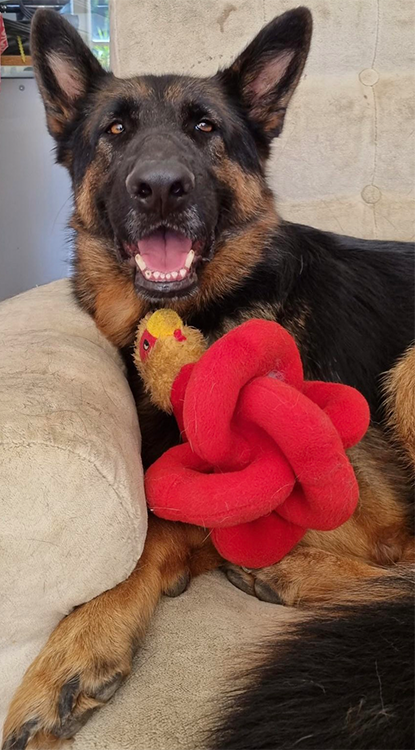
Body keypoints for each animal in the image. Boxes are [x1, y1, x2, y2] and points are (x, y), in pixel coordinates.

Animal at [4, 7, 415, 750]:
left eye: (204, 128)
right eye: (115, 130)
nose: (162, 187)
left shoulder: (362, 514)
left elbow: (165, 525)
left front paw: (75, 647)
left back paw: (283, 571)